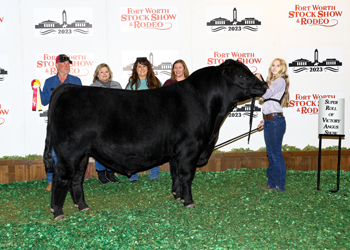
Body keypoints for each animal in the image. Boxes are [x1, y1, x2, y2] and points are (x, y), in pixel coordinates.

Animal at [44, 59, 268, 219]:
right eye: (241, 74)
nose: (264, 85)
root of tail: (68, 88)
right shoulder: (190, 147)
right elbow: (187, 175)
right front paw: (189, 202)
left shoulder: (177, 151)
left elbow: (176, 174)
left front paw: (177, 196)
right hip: (69, 152)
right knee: (61, 176)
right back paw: (58, 212)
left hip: (82, 154)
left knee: (76, 178)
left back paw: (82, 207)